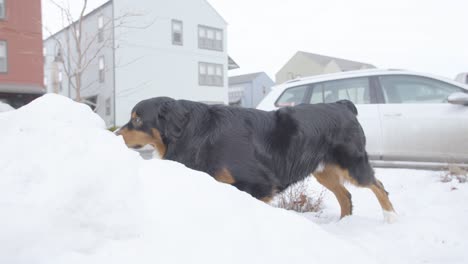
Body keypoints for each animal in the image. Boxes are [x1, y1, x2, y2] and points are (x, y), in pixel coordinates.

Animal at [116, 96, 394, 221]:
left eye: (137, 120)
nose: (116, 134)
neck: (195, 132)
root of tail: (342, 105)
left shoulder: (258, 184)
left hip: (352, 164)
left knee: (377, 185)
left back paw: (390, 216)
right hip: (323, 170)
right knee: (345, 195)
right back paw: (344, 224)